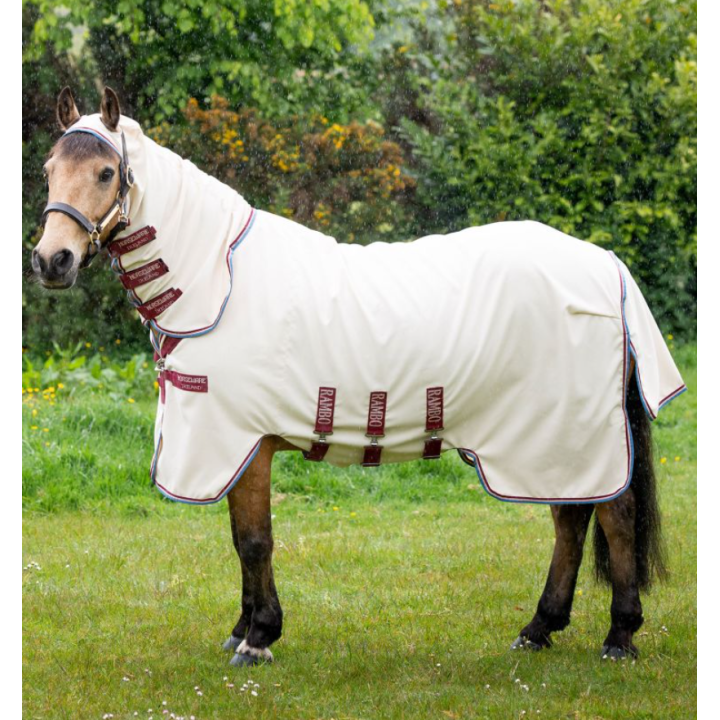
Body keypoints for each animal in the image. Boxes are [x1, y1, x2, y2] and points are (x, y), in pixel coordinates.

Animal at [31, 86, 685, 667]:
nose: (51, 261)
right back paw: (539, 628)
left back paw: (619, 636)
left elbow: (255, 540)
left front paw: (259, 638)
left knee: (614, 515)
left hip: (572, 430)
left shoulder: (246, 442)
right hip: (548, 438)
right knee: (572, 518)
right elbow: (241, 541)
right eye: (49, 169)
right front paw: (243, 627)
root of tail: (606, 264)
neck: (219, 282)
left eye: (107, 172)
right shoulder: (235, 447)